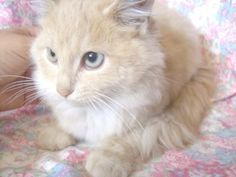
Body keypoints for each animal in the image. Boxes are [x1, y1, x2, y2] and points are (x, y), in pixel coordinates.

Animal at [30, 0, 216, 177]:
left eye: (92, 58)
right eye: (52, 55)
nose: (62, 91)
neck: (93, 109)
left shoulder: (151, 115)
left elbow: (127, 139)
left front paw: (107, 160)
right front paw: (56, 132)